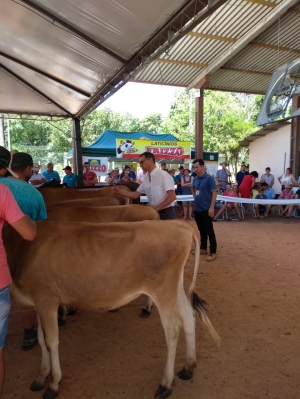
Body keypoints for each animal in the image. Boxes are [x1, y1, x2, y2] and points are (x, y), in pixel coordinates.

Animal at [5, 220, 218, 399]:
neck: (22, 247)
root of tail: (177, 223)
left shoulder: (46, 300)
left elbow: (51, 342)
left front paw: (53, 384)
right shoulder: (38, 304)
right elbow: (42, 341)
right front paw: (41, 377)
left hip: (163, 291)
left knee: (173, 329)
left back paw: (165, 384)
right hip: (176, 287)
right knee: (189, 316)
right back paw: (188, 368)